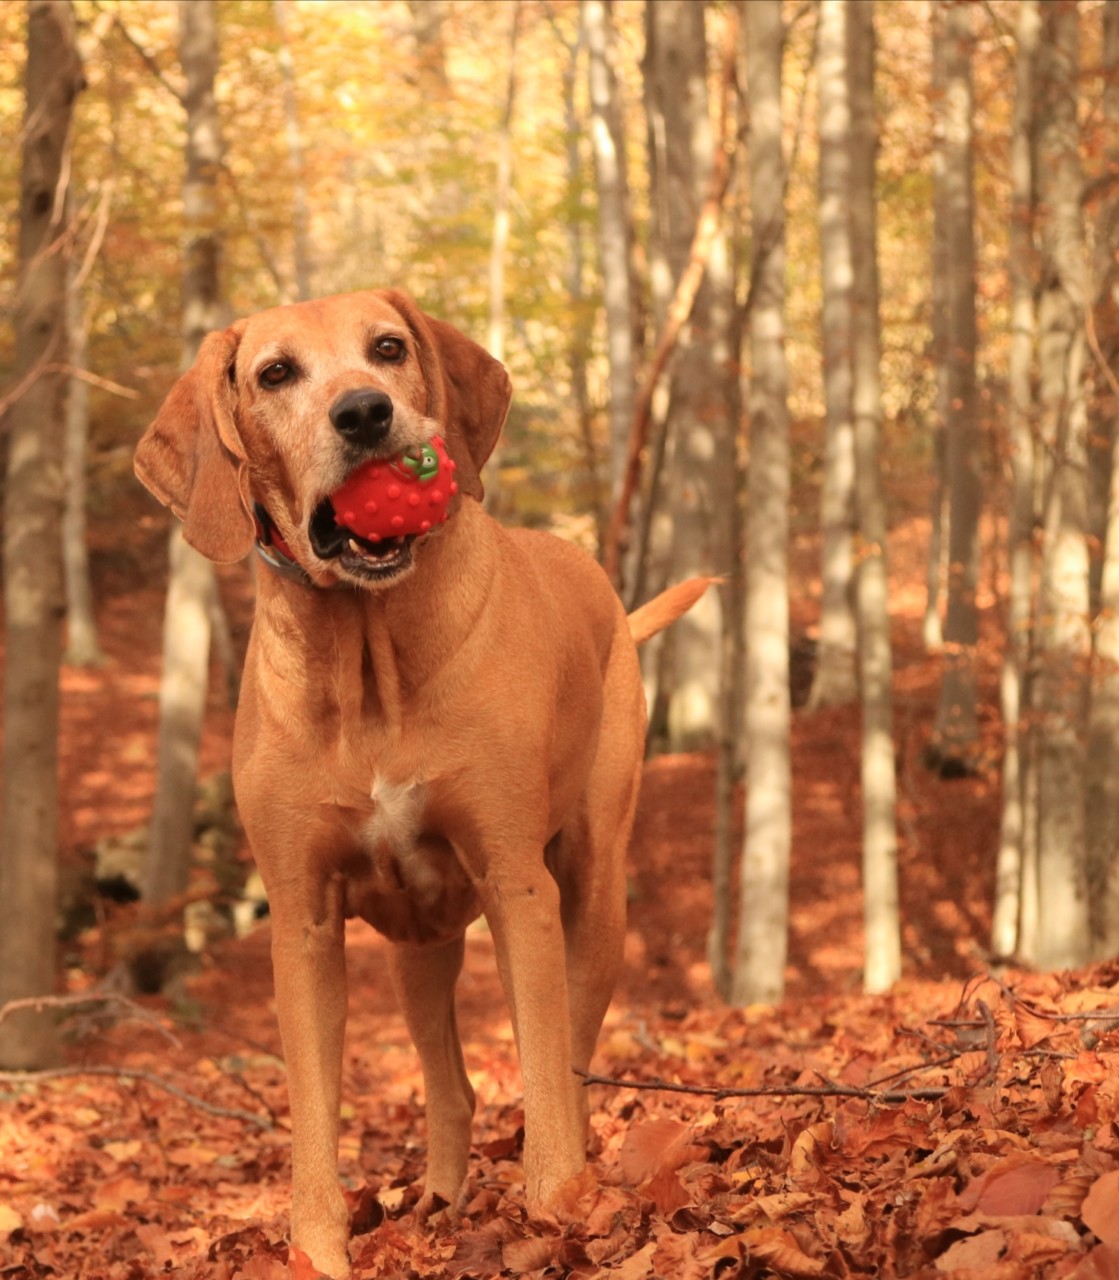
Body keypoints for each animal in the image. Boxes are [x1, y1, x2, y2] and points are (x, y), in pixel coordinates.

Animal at [133, 293, 706, 1280]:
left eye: (389, 347)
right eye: (274, 373)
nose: (365, 412)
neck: (369, 660)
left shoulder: (517, 884)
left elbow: (543, 1067)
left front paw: (554, 1206)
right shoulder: (303, 921)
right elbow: (315, 1117)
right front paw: (318, 1249)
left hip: (592, 891)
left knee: (571, 1053)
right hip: (417, 942)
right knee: (454, 1085)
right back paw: (438, 1200)